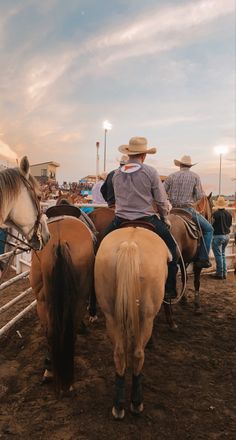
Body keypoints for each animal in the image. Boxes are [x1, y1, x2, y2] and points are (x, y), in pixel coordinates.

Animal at [94, 227, 171, 420]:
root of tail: (129, 245)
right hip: (146, 317)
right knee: (137, 354)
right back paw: (136, 403)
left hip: (111, 315)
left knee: (119, 353)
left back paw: (118, 405)